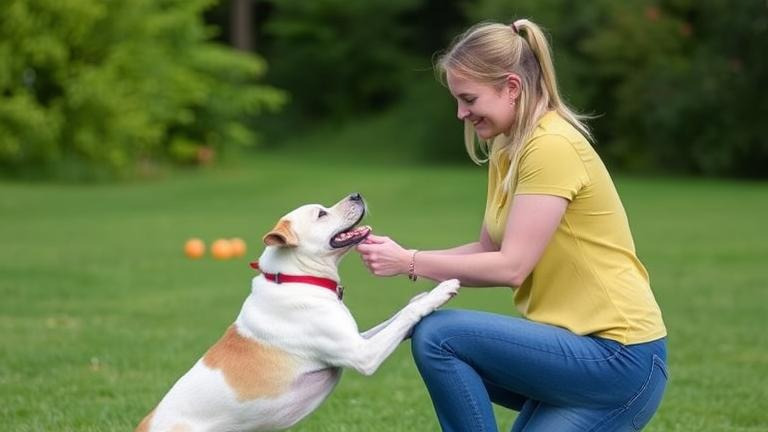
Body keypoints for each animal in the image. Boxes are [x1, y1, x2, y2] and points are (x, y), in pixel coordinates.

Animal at [135, 193, 460, 432]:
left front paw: (421, 295)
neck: (296, 279)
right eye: (321, 214)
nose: (356, 194)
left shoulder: (357, 339)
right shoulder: (362, 354)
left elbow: (395, 318)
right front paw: (443, 289)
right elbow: (407, 316)